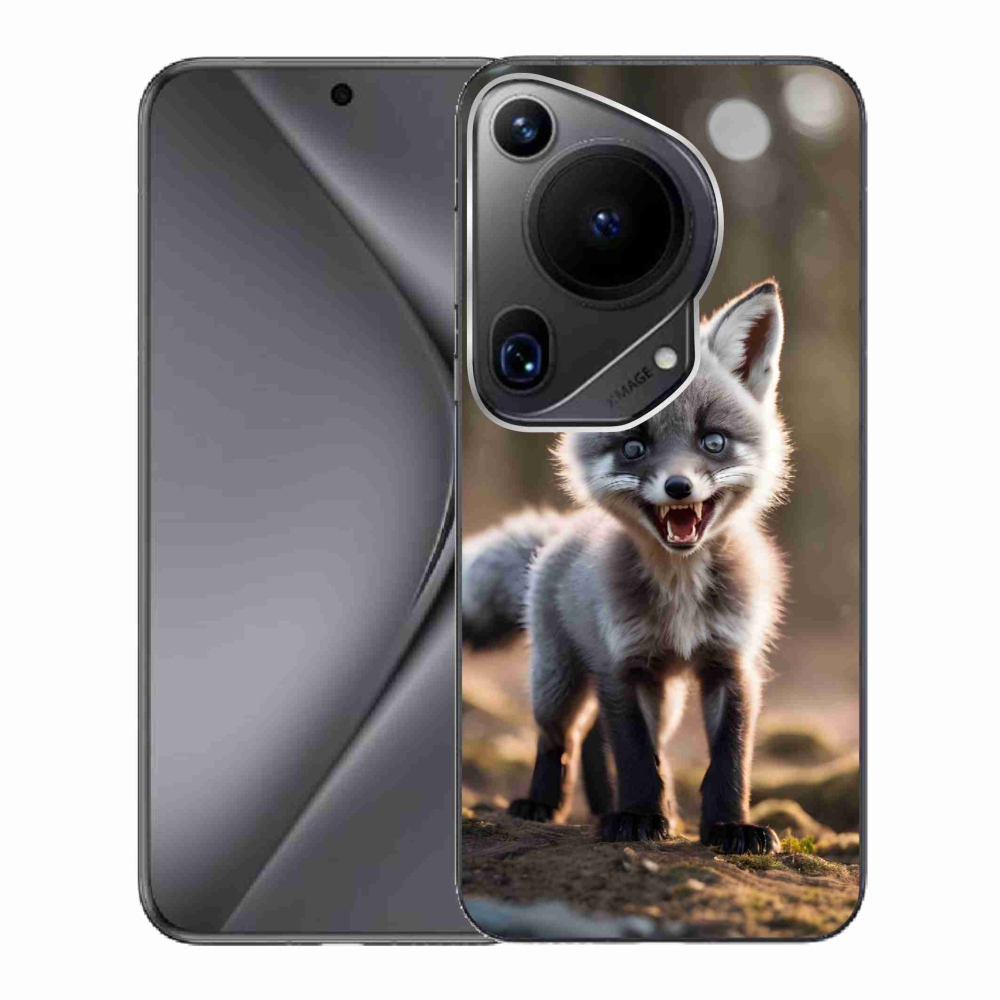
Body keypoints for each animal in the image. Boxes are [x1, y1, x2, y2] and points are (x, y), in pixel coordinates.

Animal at [463, 280, 791, 853]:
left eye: (713, 441)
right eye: (634, 447)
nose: (679, 487)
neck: (681, 593)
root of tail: (560, 532)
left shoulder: (731, 664)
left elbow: (729, 761)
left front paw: (730, 827)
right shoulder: (623, 664)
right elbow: (637, 757)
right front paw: (638, 816)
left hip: (665, 695)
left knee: (597, 736)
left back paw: (608, 806)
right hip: (558, 680)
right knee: (561, 737)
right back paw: (543, 804)